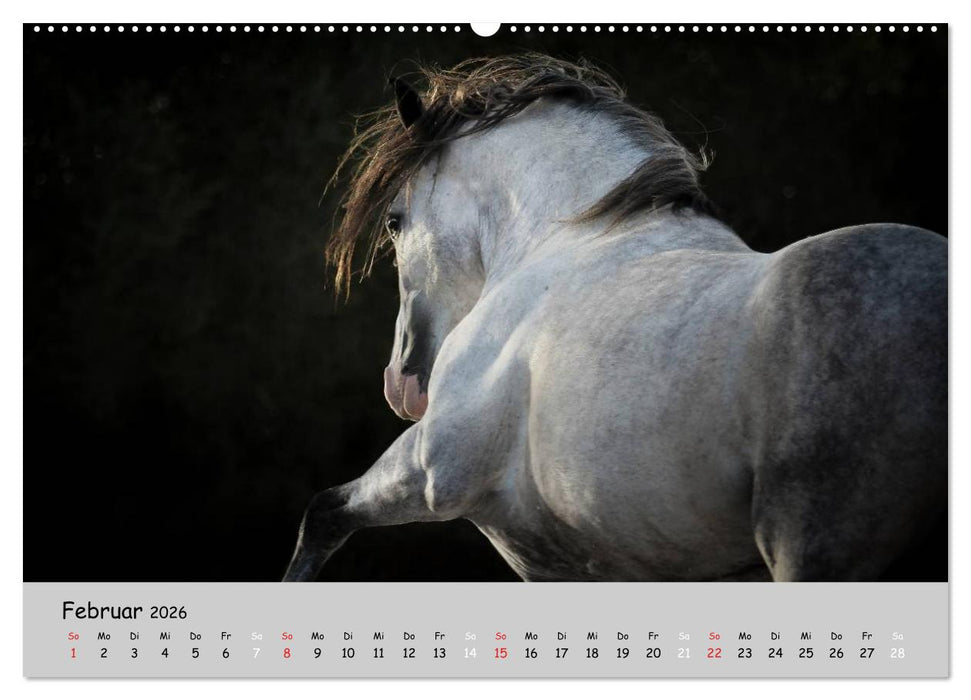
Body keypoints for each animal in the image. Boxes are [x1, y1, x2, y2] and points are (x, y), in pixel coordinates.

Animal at [283, 55, 947, 583]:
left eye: (396, 221)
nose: (403, 384)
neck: (569, 240)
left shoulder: (433, 468)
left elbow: (323, 514)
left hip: (812, 546)